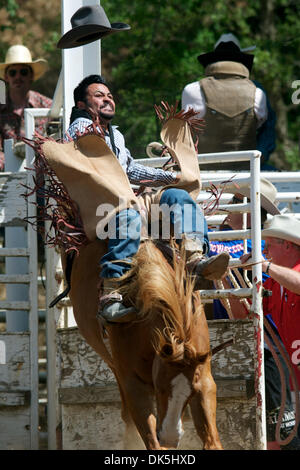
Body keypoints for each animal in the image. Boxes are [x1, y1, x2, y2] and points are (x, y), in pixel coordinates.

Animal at [68, 237, 223, 450]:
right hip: (114, 366)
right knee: (127, 416)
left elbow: (212, 440)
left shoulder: (203, 378)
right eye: (160, 388)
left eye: (191, 392)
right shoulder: (133, 384)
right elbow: (152, 439)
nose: (170, 437)